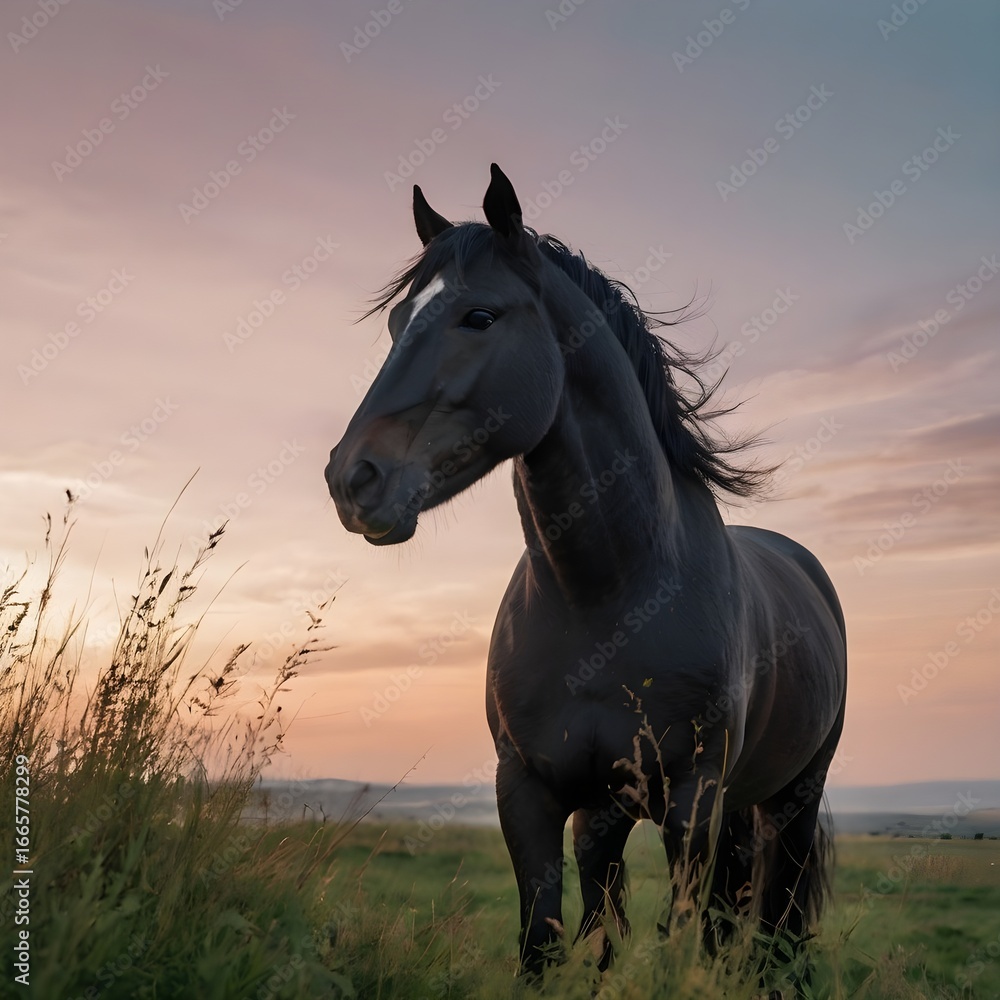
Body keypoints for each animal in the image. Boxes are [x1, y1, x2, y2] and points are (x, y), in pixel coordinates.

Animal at [325, 164, 847, 989]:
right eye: (396, 322)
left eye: (479, 315)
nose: (353, 479)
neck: (608, 595)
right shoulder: (533, 795)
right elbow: (549, 945)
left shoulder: (691, 803)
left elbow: (677, 942)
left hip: (789, 798)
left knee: (778, 923)